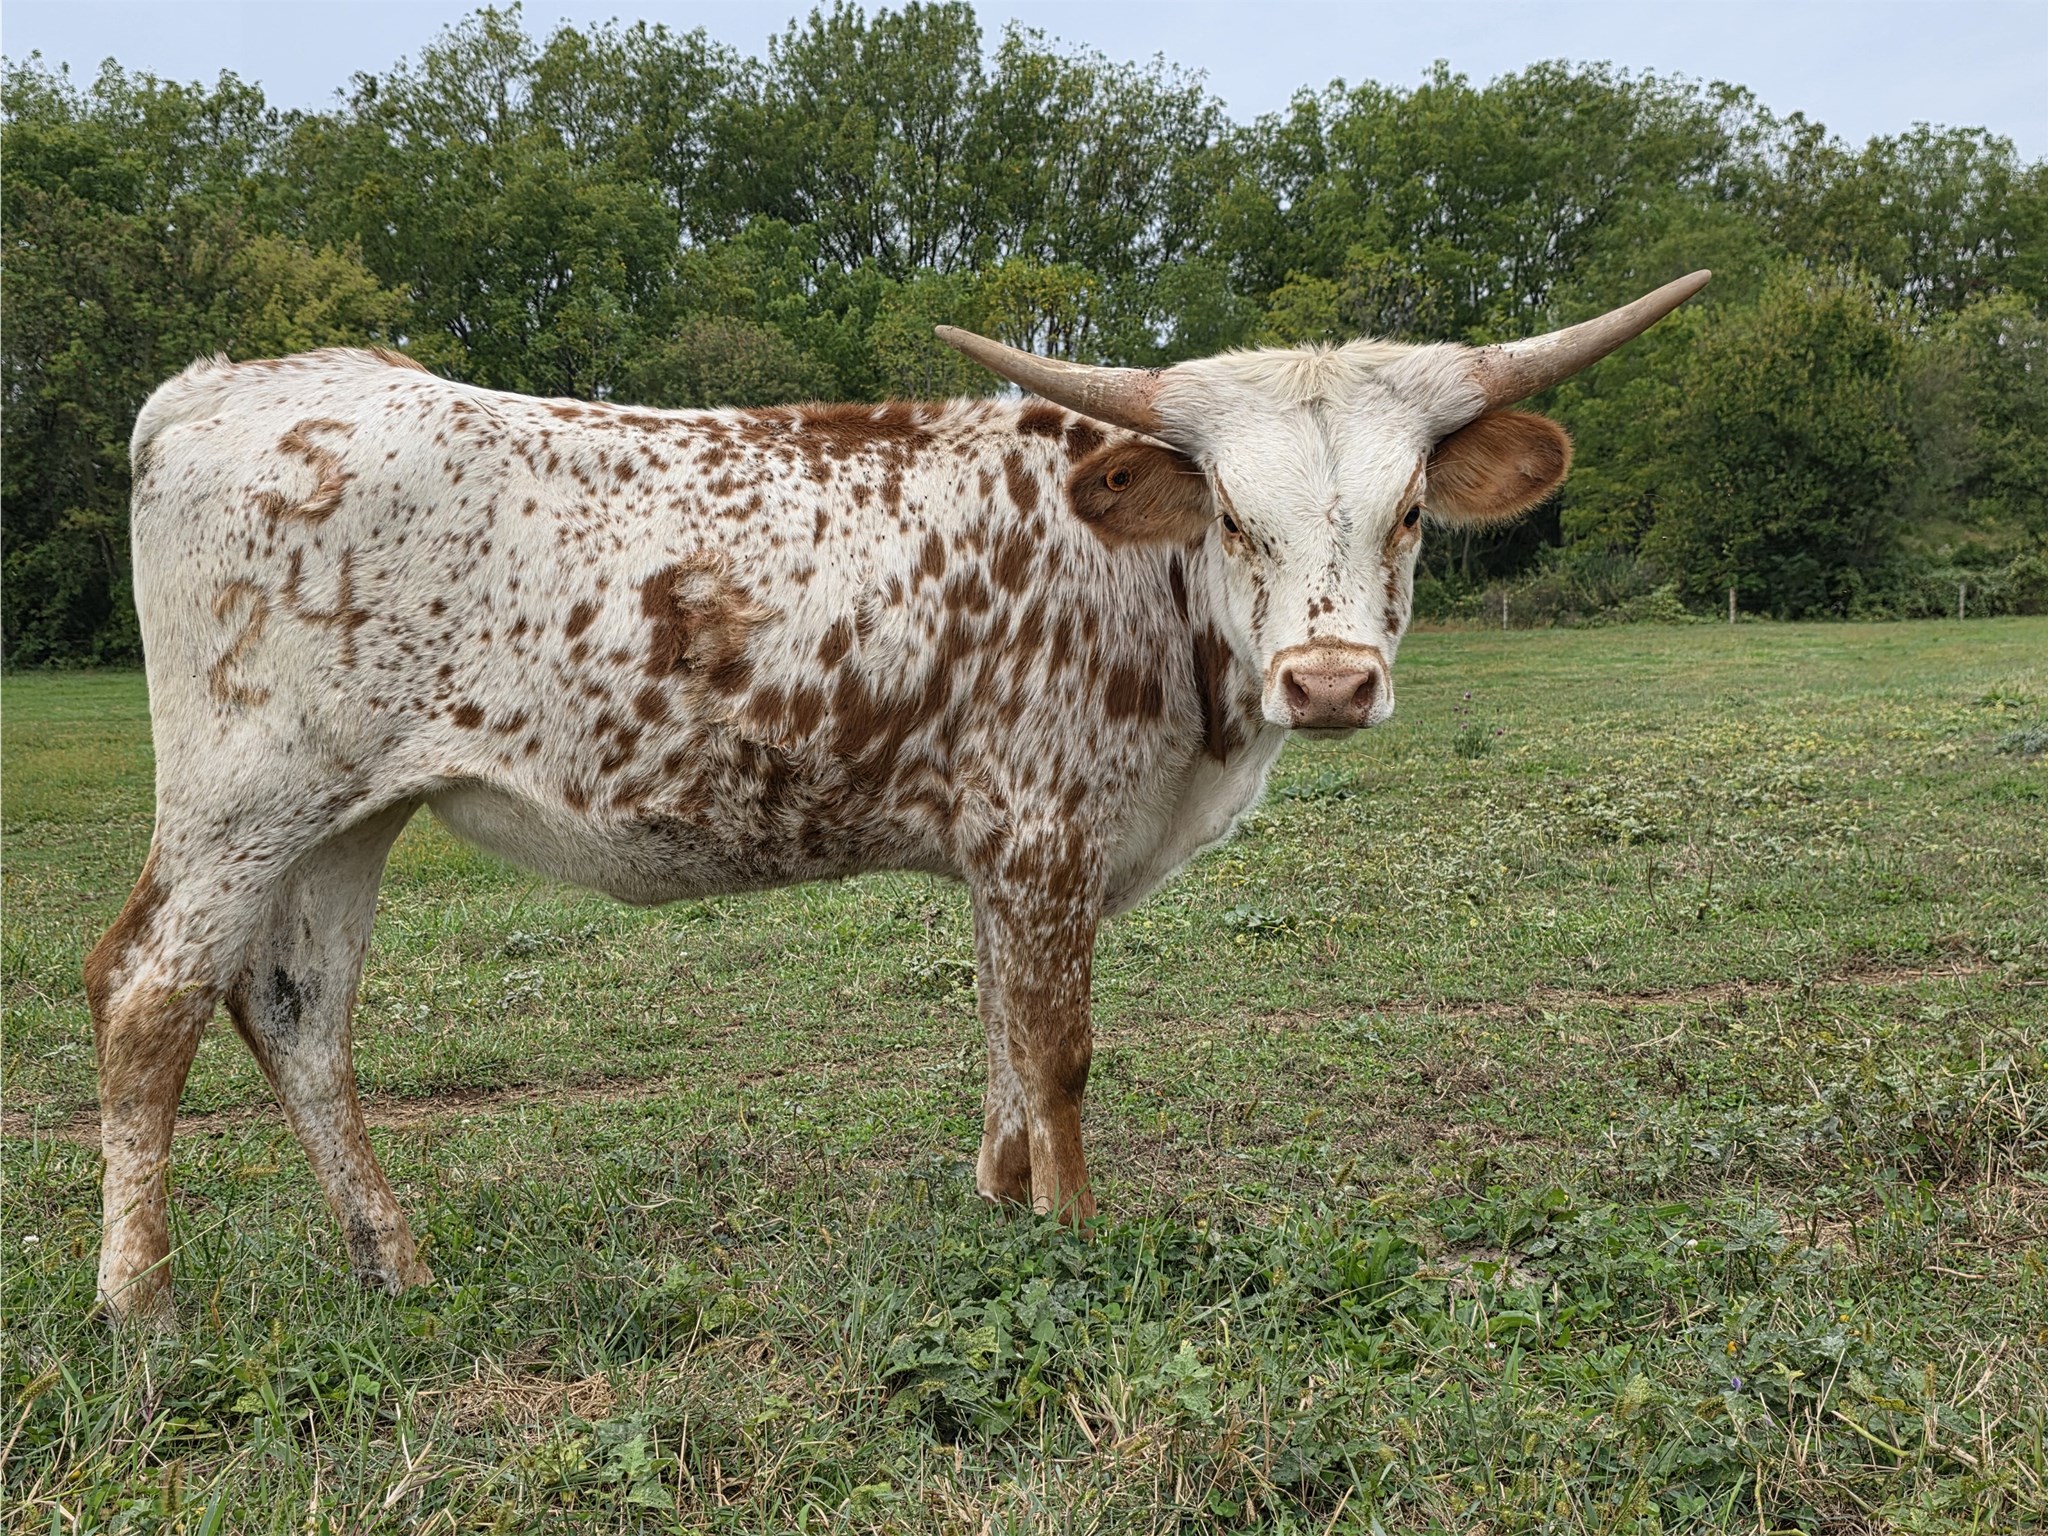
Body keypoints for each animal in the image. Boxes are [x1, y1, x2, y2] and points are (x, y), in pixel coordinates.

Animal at [88, 271, 1709, 1320]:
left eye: (1411, 513)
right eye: (1237, 519)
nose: (1326, 681)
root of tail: (222, 390)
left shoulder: (1003, 853)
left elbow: (999, 1033)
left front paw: (1001, 1204)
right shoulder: (1047, 830)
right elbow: (1059, 1050)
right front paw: (1076, 1238)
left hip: (349, 813)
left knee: (296, 1012)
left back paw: (396, 1266)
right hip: (244, 793)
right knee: (148, 995)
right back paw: (143, 1305)